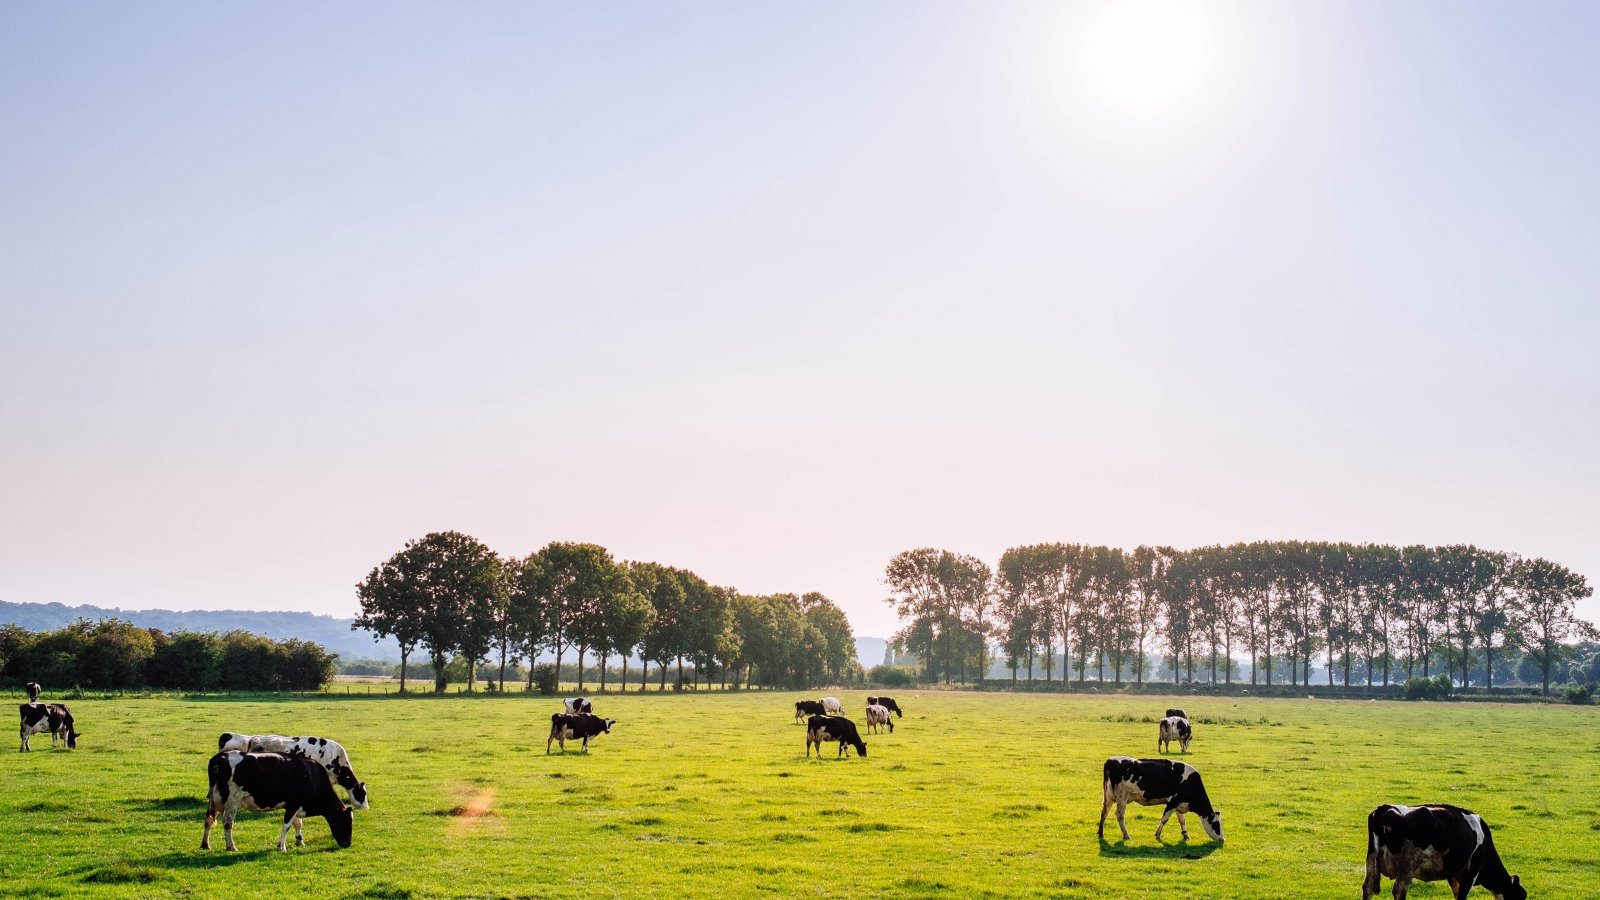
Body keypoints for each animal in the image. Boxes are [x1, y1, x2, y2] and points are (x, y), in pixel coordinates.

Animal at [201, 749, 352, 845]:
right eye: (345, 821)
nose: (347, 843)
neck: (312, 776)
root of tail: (218, 758)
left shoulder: (295, 805)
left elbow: (297, 823)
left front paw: (299, 841)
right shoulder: (294, 803)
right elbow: (287, 825)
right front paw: (281, 846)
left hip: (213, 799)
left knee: (208, 819)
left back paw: (205, 844)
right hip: (232, 800)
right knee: (227, 822)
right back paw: (231, 846)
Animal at [1363, 800, 1523, 890]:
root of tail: (1384, 808)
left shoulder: (1453, 875)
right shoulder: (1471, 873)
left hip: (1371, 862)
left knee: (1368, 887)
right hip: (1406, 867)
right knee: (1398, 890)